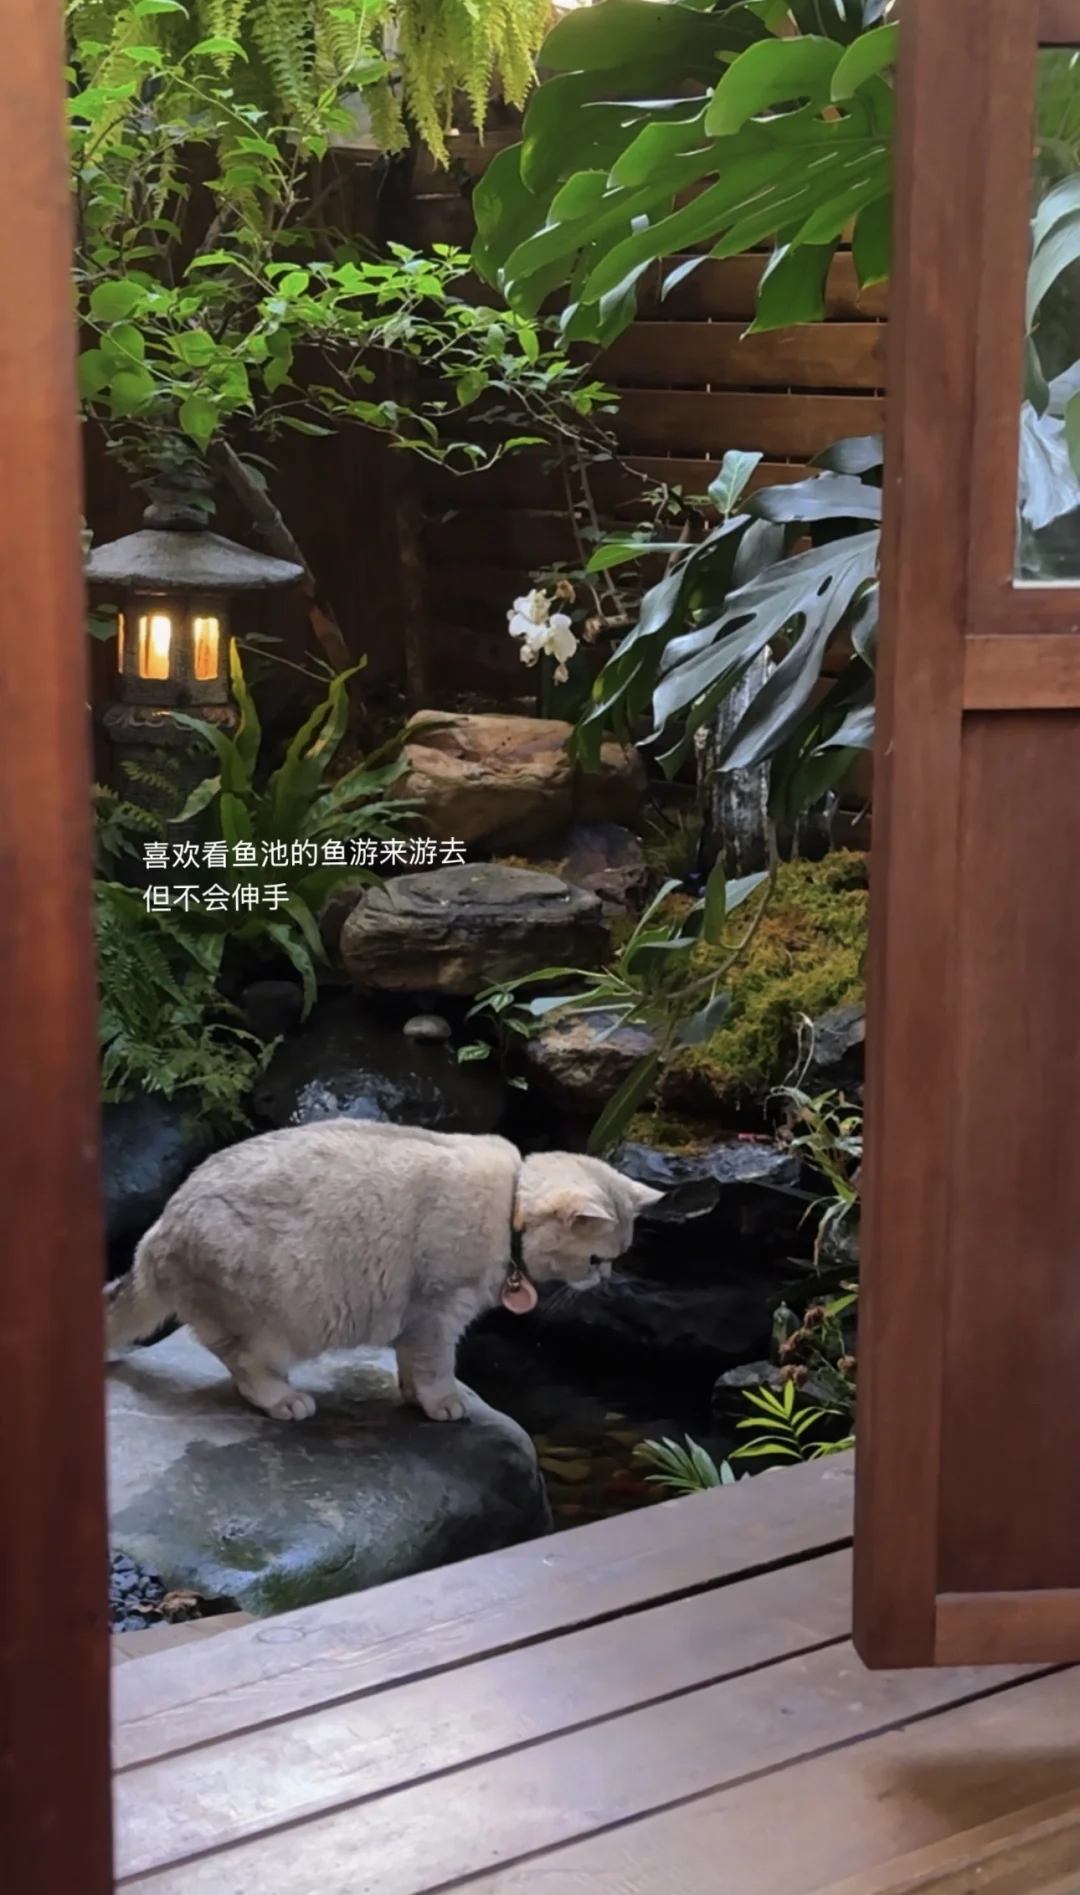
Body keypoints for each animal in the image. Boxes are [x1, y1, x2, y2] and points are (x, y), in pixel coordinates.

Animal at [104, 1119, 663, 1423]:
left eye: (619, 1257)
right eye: (597, 1259)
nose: (604, 1279)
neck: (509, 1207)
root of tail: (158, 1231)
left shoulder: (416, 1322)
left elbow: (411, 1366)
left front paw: (415, 1398)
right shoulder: (437, 1313)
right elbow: (437, 1367)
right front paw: (443, 1403)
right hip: (265, 1327)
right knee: (243, 1368)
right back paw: (284, 1399)